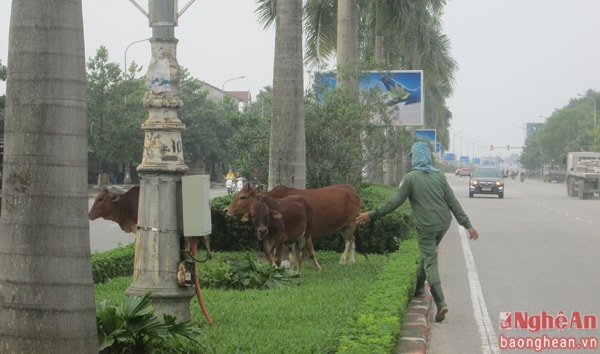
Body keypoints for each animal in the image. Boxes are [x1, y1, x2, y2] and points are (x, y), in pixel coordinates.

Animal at [223, 184, 358, 264]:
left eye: (242, 197)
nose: (225, 210)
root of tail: (352, 190)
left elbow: (310, 252)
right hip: (343, 227)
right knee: (353, 239)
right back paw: (352, 261)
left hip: (350, 223)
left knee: (349, 241)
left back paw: (343, 260)